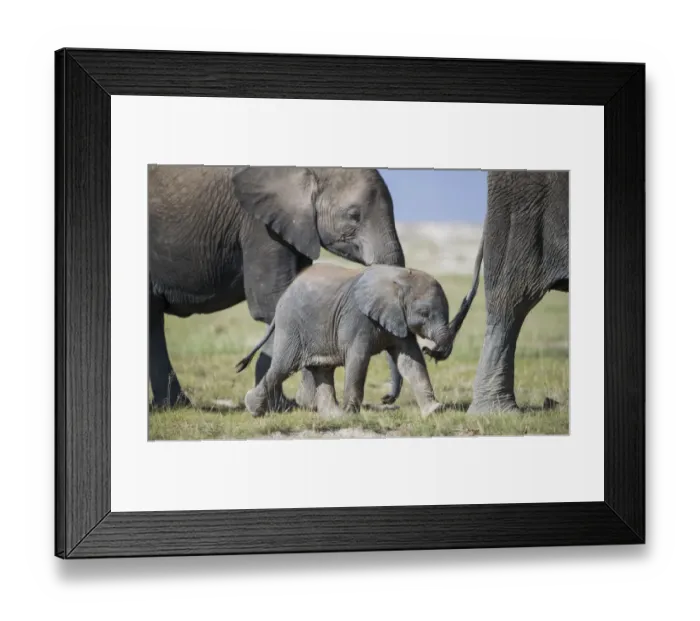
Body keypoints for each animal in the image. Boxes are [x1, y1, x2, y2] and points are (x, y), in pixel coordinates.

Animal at [148, 165, 406, 410]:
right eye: (354, 215)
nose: (385, 398)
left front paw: (302, 403)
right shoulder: (258, 225)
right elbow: (272, 303)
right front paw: (289, 406)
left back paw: (174, 405)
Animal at [234, 263, 452, 418]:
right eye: (424, 313)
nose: (432, 350)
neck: (399, 277)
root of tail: (285, 294)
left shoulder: (400, 321)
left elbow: (411, 362)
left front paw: (434, 411)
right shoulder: (357, 318)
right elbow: (358, 359)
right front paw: (352, 413)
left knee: (321, 370)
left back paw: (335, 417)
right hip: (292, 327)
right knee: (283, 367)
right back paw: (253, 409)